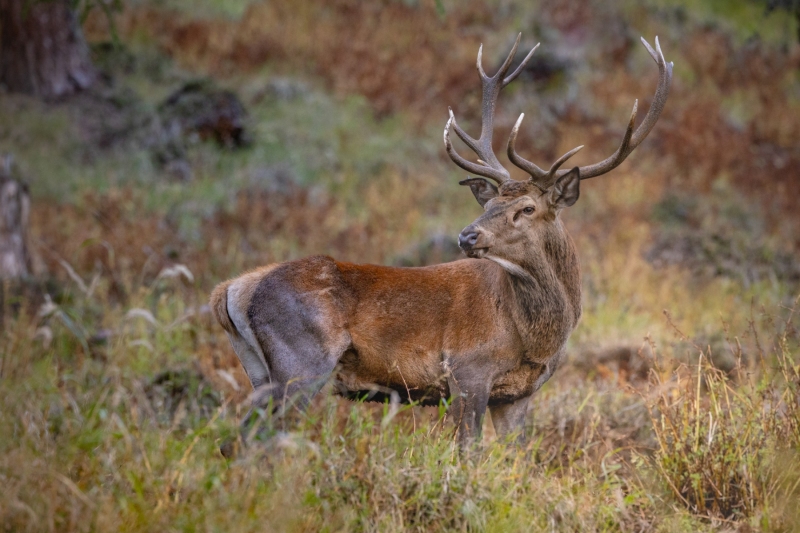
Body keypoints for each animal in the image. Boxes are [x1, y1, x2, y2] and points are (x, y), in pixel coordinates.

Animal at [210, 34, 672, 447]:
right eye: (491, 203)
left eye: (527, 208)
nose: (467, 235)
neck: (534, 338)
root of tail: (230, 290)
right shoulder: (467, 372)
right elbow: (467, 452)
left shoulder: (518, 395)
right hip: (300, 363)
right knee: (251, 438)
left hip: (260, 370)